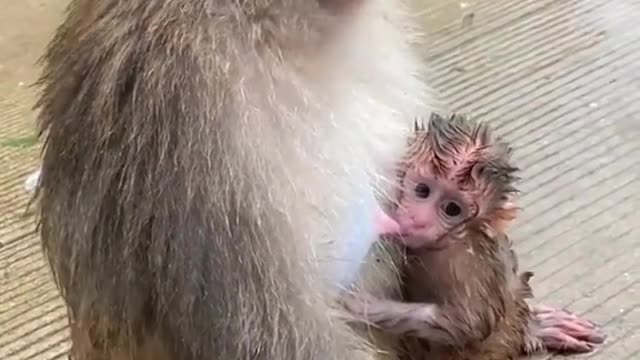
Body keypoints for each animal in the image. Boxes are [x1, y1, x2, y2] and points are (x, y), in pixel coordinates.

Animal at [348, 114, 604, 358]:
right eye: (422, 190)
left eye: (452, 209)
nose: (418, 220)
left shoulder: (463, 265)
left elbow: (466, 325)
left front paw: (361, 307)